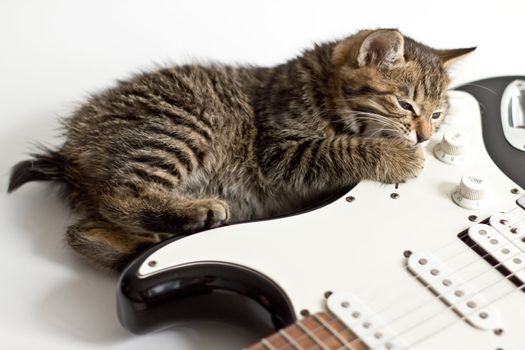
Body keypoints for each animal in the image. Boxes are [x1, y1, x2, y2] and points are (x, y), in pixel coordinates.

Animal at [9, 29, 474, 270]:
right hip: (180, 126)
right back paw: (195, 213)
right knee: (120, 194)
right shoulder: (279, 152)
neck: (325, 92)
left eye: (437, 114)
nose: (424, 136)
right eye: (405, 105)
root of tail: (72, 148)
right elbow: (340, 148)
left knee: (80, 232)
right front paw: (398, 156)